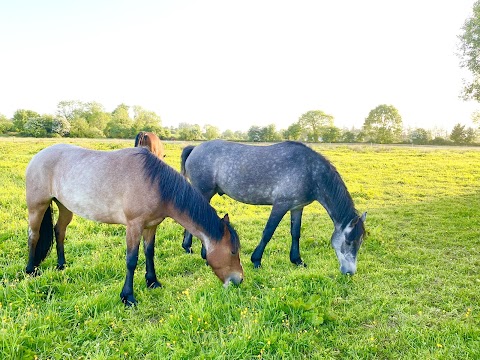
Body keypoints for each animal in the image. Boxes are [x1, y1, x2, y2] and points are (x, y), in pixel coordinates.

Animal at [25, 142, 244, 306]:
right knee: (34, 235)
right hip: (37, 206)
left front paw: (152, 281)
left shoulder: (151, 226)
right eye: (233, 251)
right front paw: (128, 296)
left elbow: (149, 252)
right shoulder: (134, 226)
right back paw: (30, 270)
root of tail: (38, 156)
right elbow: (131, 260)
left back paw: (61, 265)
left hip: (64, 207)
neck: (155, 183)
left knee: (59, 231)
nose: (239, 280)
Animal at [181, 139, 368, 274]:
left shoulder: (297, 207)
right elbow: (268, 232)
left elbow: (295, 233)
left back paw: (189, 248)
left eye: (360, 242)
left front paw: (297, 260)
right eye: (349, 241)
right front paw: (256, 260)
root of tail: (195, 148)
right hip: (204, 192)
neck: (310, 171)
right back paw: (199, 252)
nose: (349, 272)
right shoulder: (280, 205)